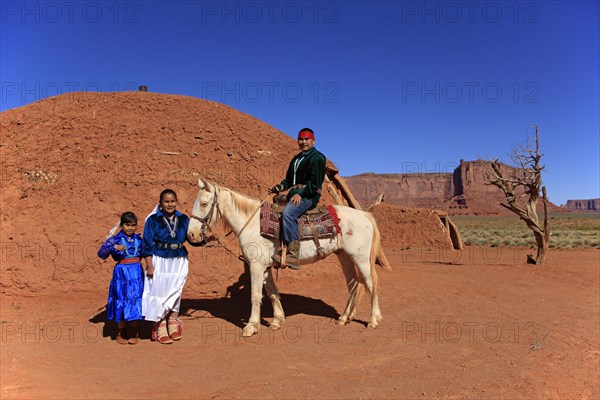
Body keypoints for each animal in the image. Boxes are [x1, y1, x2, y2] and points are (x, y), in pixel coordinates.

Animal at [188, 179, 384, 338]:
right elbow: (272, 293)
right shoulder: (265, 266)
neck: (253, 224)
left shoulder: (256, 266)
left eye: (204, 203)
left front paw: (251, 326)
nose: (192, 234)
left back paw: (373, 320)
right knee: (353, 284)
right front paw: (277, 321)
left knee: (371, 284)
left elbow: (255, 295)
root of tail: (364, 215)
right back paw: (344, 318)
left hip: (361, 258)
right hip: (345, 256)